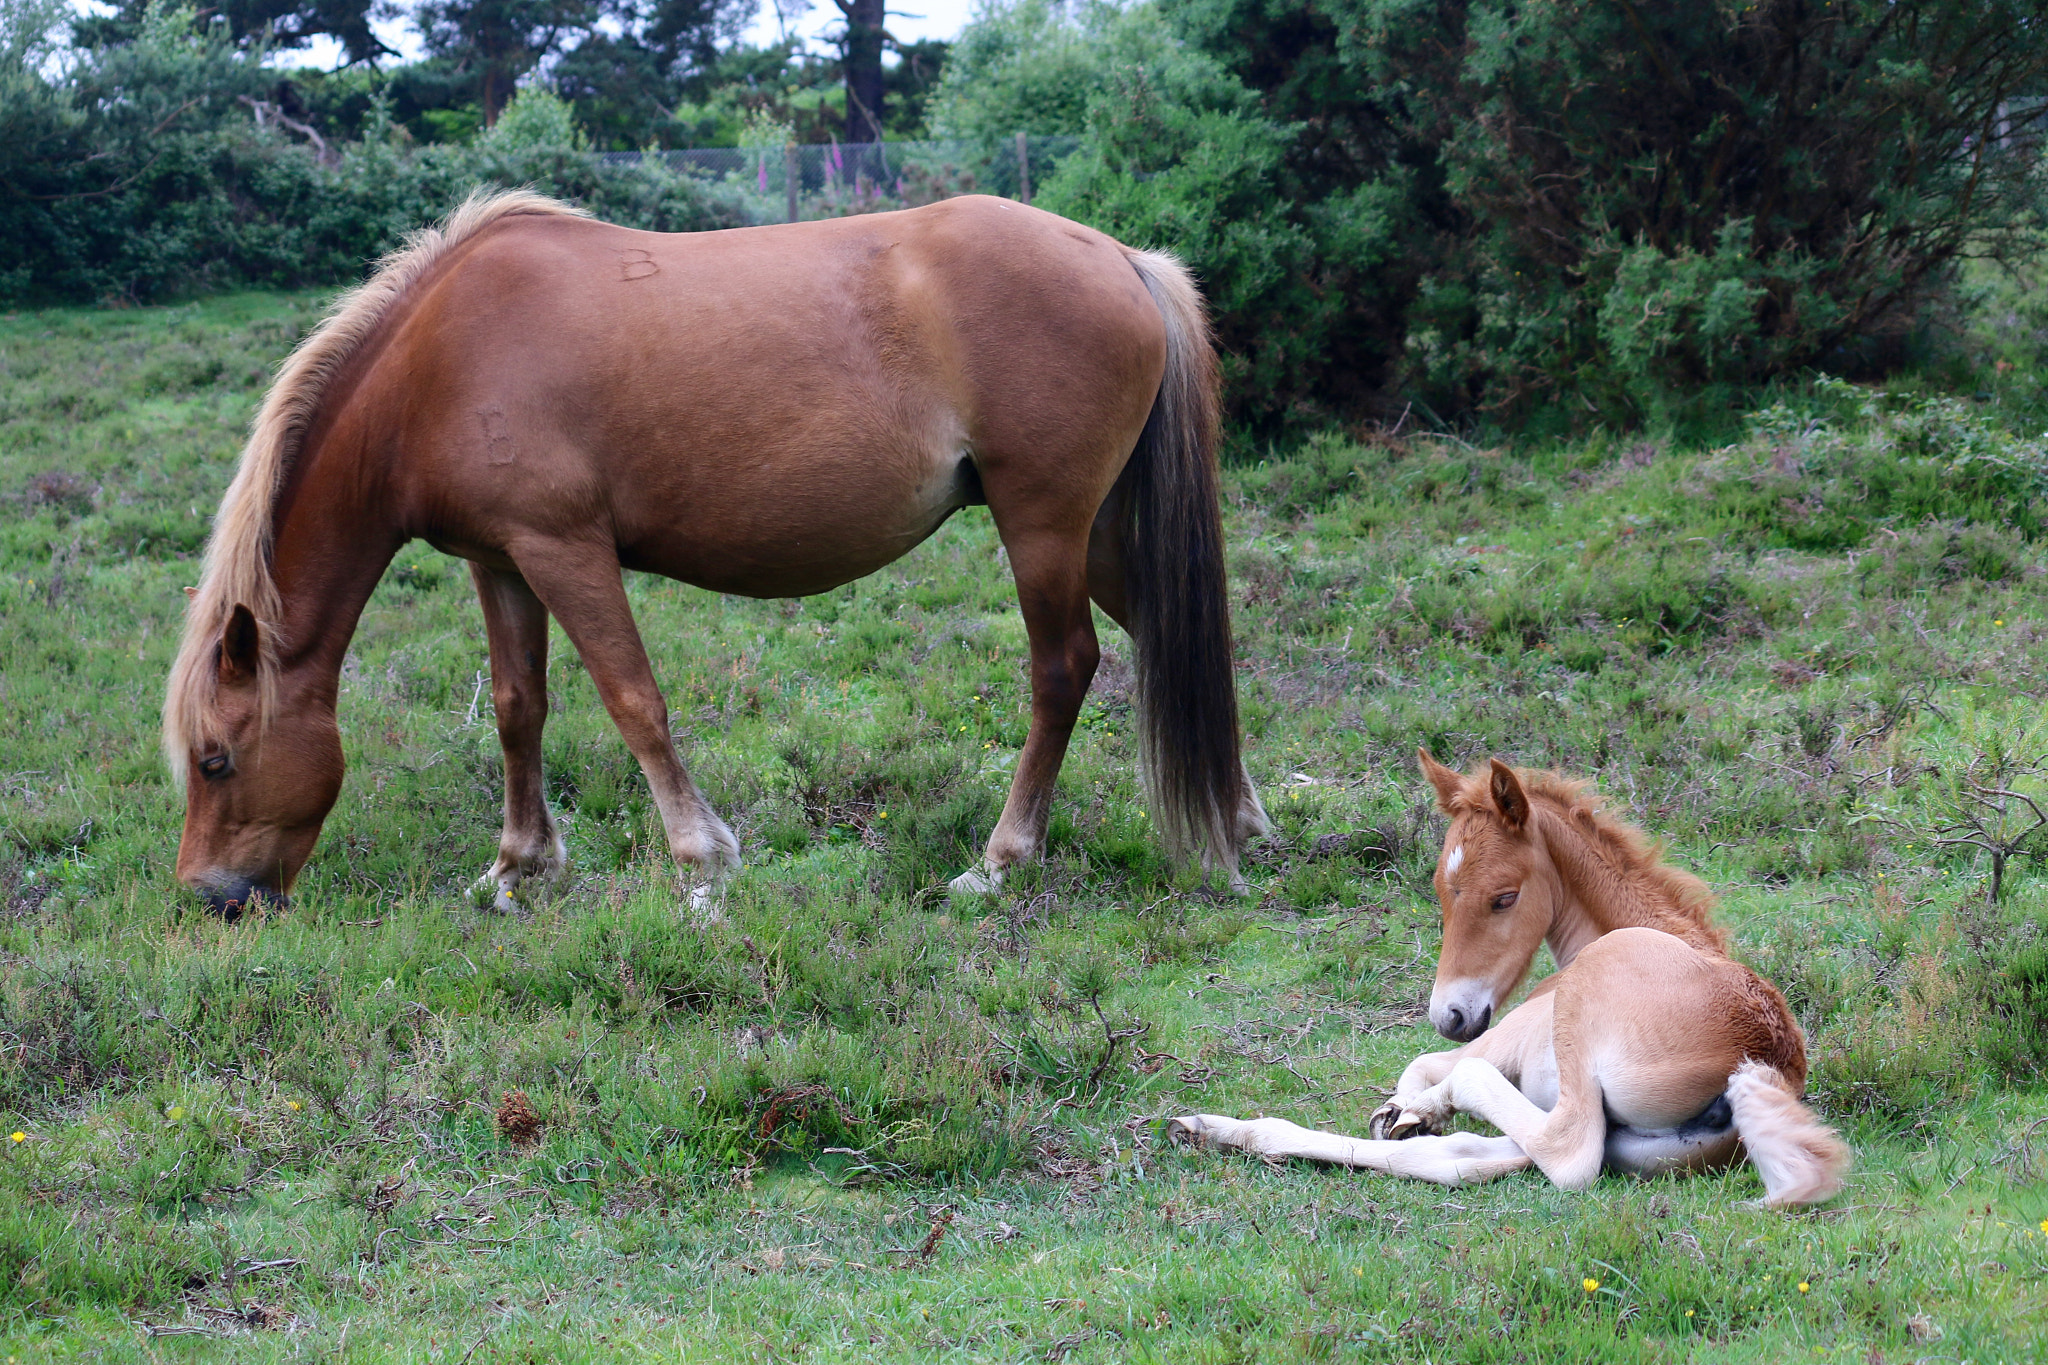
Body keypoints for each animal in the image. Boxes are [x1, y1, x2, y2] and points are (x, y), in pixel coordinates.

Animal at [163, 189, 1269, 918]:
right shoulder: (501, 560)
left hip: (1042, 526)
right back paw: (1239, 819)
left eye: (217, 760)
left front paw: (701, 865)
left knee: (1064, 670)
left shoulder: (564, 547)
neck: (439, 361)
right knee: (1173, 636)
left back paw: (1001, 860)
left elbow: (633, 703)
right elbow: (520, 711)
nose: (211, 897)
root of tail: (1124, 260)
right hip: (1095, 532)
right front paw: (517, 868)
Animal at [1170, 753, 1849, 1207]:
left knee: (1560, 1151)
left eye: (1504, 897)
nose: (1449, 1014)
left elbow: (1421, 1067)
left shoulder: (1502, 1038)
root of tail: (1761, 1059)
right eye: (1440, 889)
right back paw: (1207, 1128)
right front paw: (1405, 1115)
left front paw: (1409, 1107)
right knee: (1459, 1161)